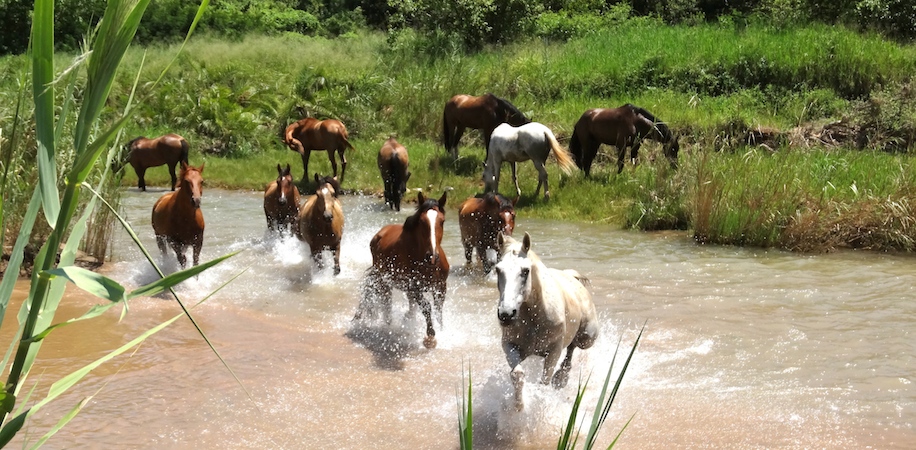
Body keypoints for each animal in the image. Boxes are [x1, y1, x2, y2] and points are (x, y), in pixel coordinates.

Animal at [356, 190, 450, 348]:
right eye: (422, 222)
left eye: (442, 221)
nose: (432, 256)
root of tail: (379, 234)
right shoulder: (413, 287)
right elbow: (426, 307)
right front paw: (430, 337)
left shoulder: (441, 287)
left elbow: (438, 311)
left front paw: (442, 331)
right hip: (384, 282)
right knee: (387, 305)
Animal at [494, 232, 600, 412]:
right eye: (498, 269)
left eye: (525, 271)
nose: (506, 314)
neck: (534, 316)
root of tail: (571, 276)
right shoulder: (509, 345)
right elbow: (517, 374)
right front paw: (519, 406)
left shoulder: (554, 350)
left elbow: (544, 381)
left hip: (587, 338)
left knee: (573, 347)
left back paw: (561, 378)